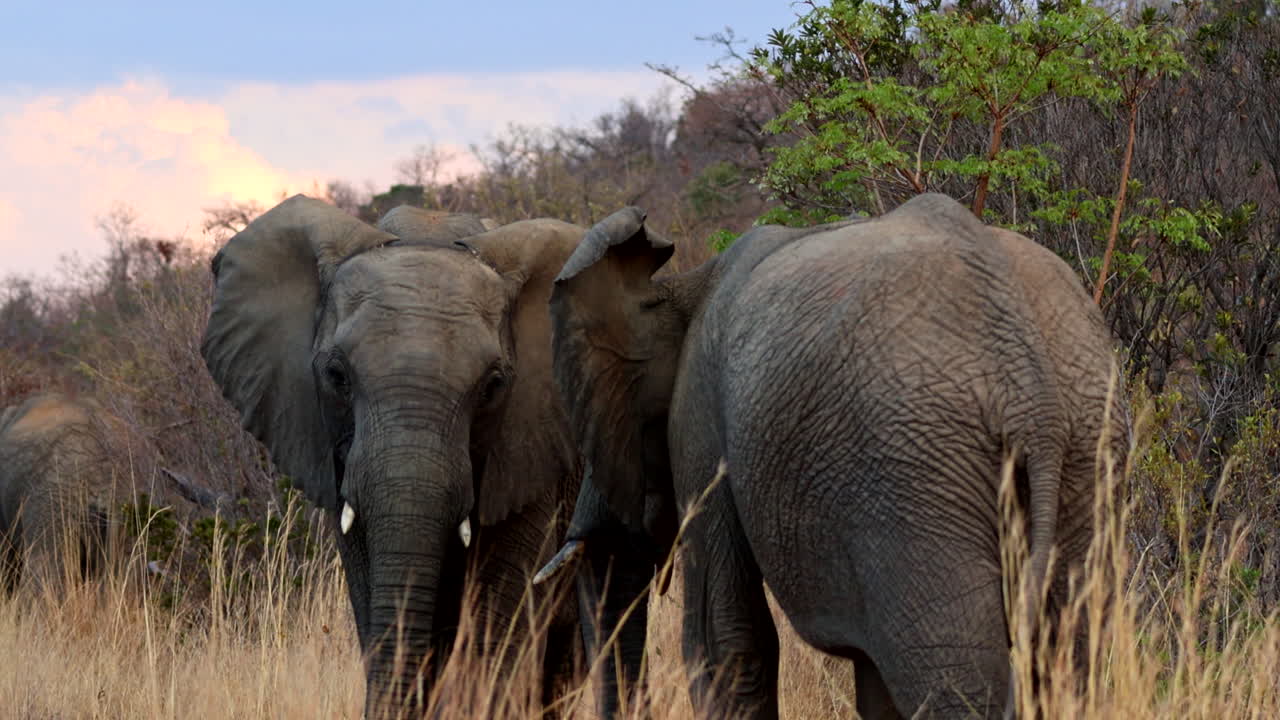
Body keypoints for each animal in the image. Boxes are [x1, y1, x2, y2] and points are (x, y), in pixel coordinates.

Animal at [539, 193, 1130, 719]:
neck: (681, 283)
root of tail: (1032, 391)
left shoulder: (702, 425)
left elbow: (725, 638)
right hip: (1087, 446)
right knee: (1071, 655)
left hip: (913, 474)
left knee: (952, 679)